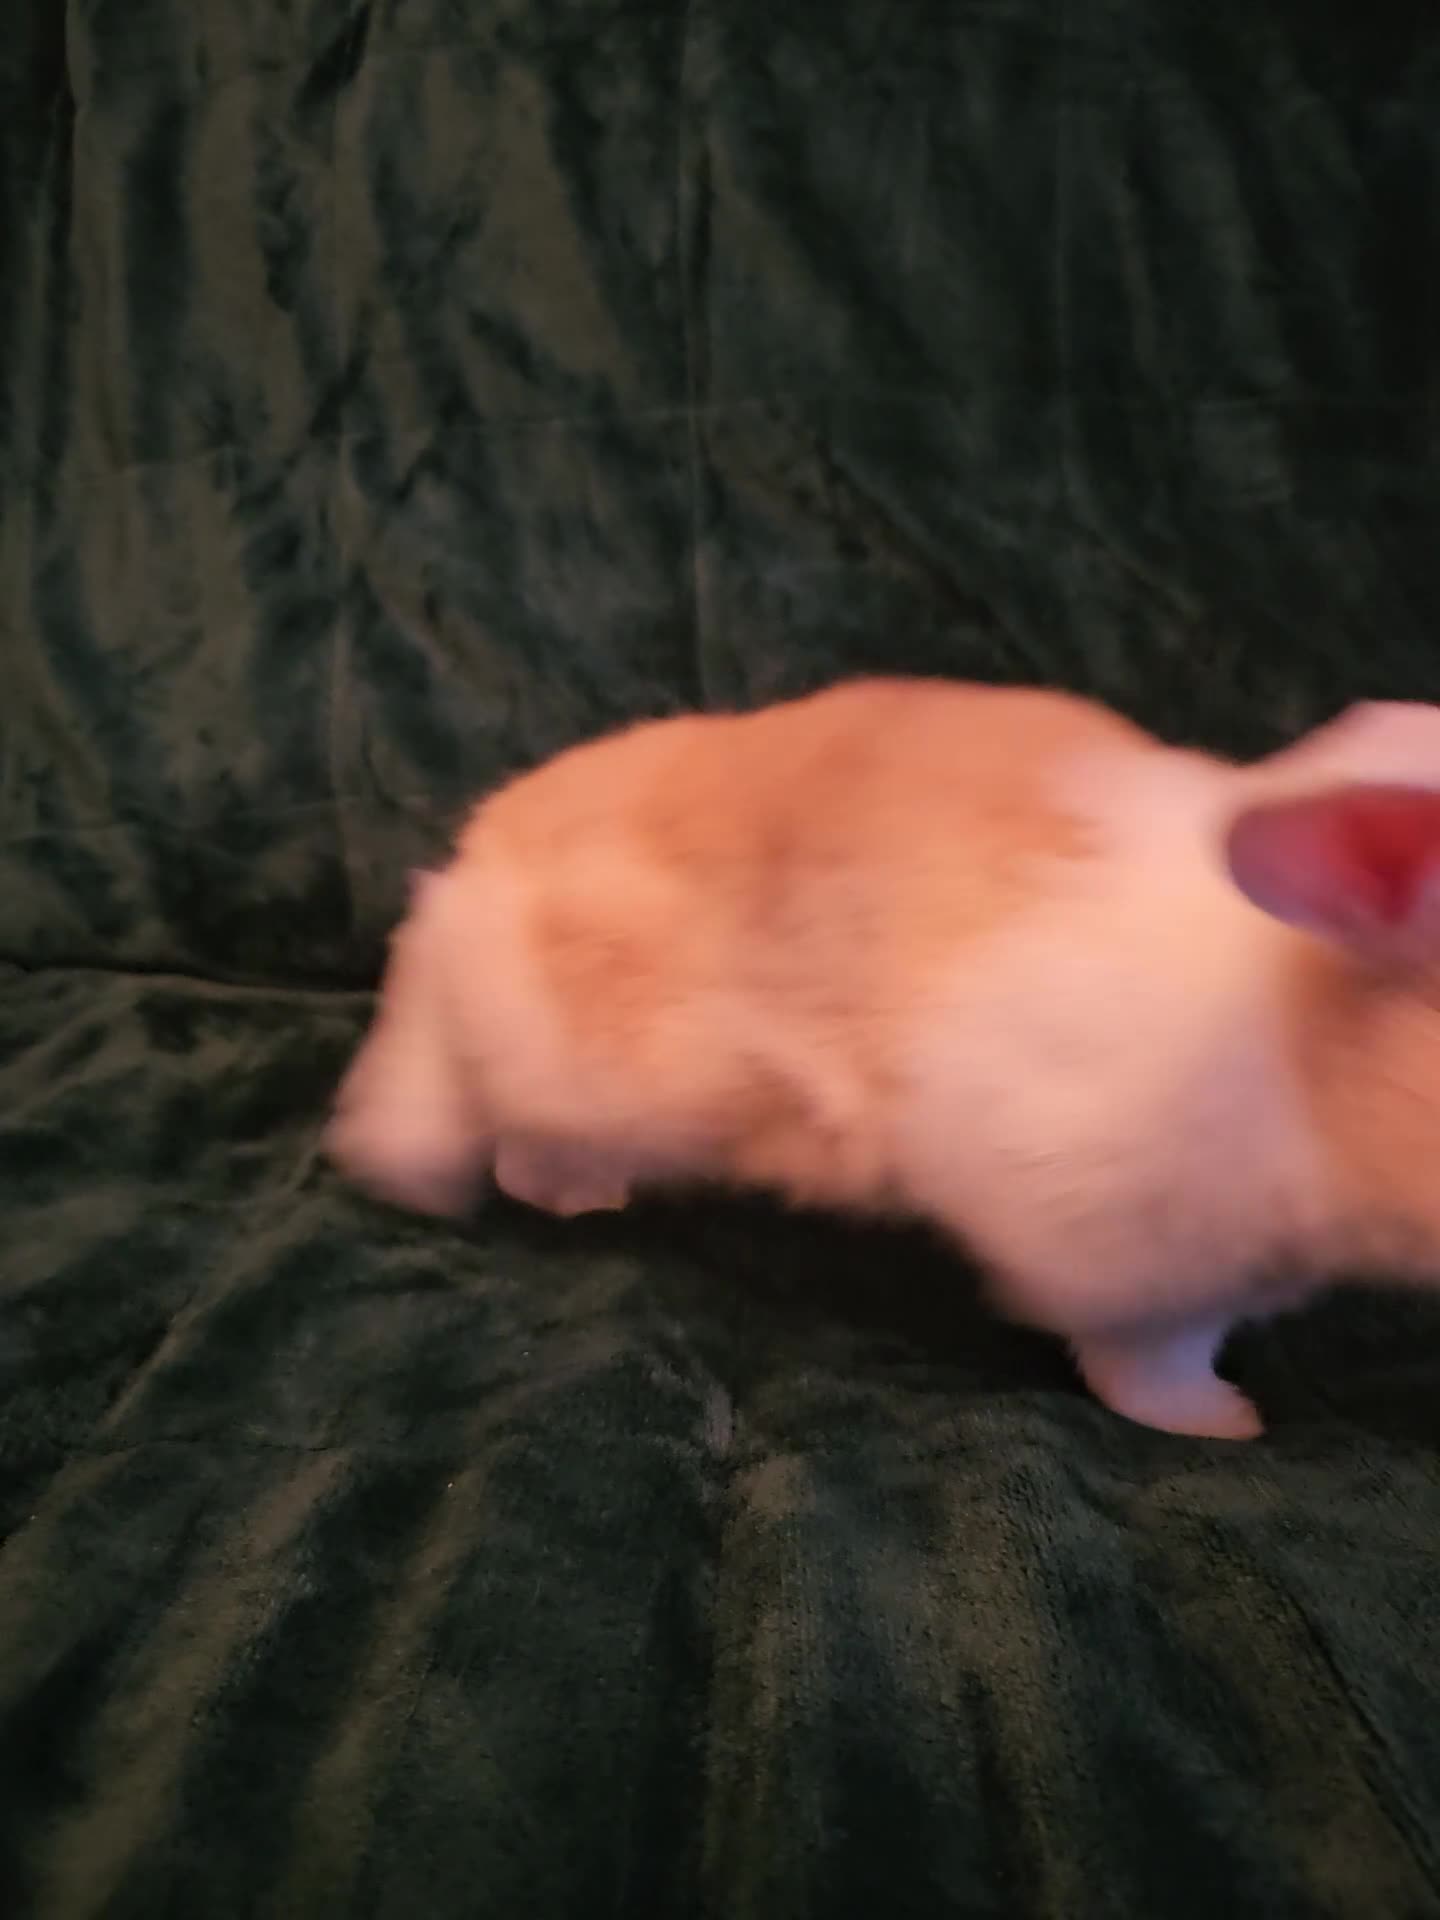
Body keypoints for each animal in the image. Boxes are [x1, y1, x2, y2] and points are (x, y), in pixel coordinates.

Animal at [326, 675, 1440, 1440]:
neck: (1300, 1030)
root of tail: (482, 859)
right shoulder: (1123, 1252)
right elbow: (1146, 1358)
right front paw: (1221, 1423)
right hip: (578, 1062)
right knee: (488, 1090)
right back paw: (569, 1195)